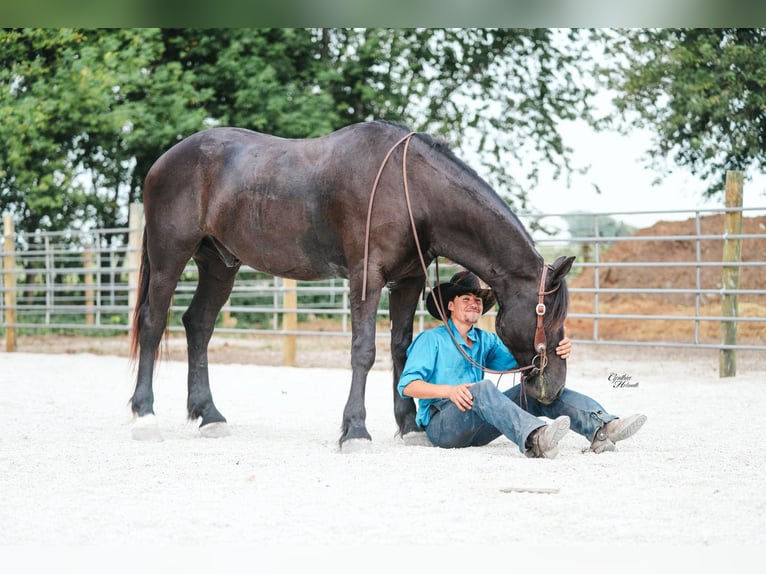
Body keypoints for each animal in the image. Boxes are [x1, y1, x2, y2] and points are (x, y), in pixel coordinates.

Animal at [128, 120, 575, 448]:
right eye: (548, 318)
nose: (553, 387)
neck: (411, 189)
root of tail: (164, 161)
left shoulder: (407, 281)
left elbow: (400, 349)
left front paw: (409, 426)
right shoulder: (366, 278)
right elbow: (364, 351)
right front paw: (356, 430)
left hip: (219, 264)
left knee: (198, 325)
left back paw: (209, 416)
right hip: (170, 256)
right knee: (153, 323)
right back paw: (145, 415)